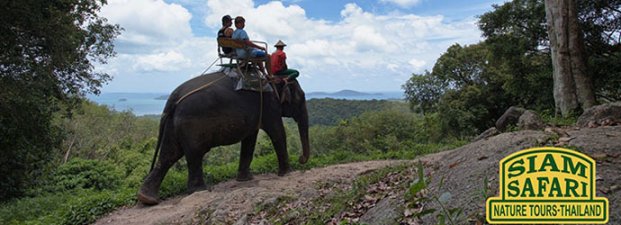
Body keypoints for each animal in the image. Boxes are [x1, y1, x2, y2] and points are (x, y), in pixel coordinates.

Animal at [137, 71, 308, 206]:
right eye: (301, 97)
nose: (301, 159)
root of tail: (173, 98)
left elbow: (250, 140)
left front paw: (245, 179)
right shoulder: (269, 106)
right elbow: (277, 133)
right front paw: (287, 174)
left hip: (173, 124)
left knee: (169, 154)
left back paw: (147, 199)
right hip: (191, 125)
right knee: (194, 154)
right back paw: (201, 190)